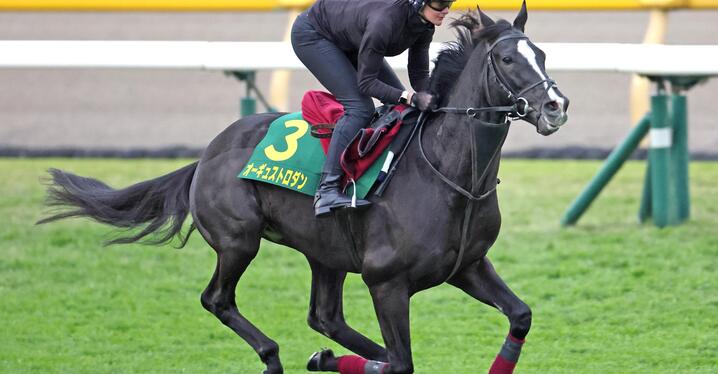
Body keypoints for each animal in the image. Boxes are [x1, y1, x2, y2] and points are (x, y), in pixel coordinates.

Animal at [40, 3, 568, 374]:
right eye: (507, 58)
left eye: (541, 54)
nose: (557, 106)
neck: (447, 173)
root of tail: (207, 154)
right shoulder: (387, 282)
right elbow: (402, 362)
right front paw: (333, 359)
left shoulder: (469, 265)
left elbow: (520, 316)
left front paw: (330, 358)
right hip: (239, 240)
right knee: (218, 299)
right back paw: (276, 356)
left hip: (326, 250)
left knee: (325, 316)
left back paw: (324, 354)